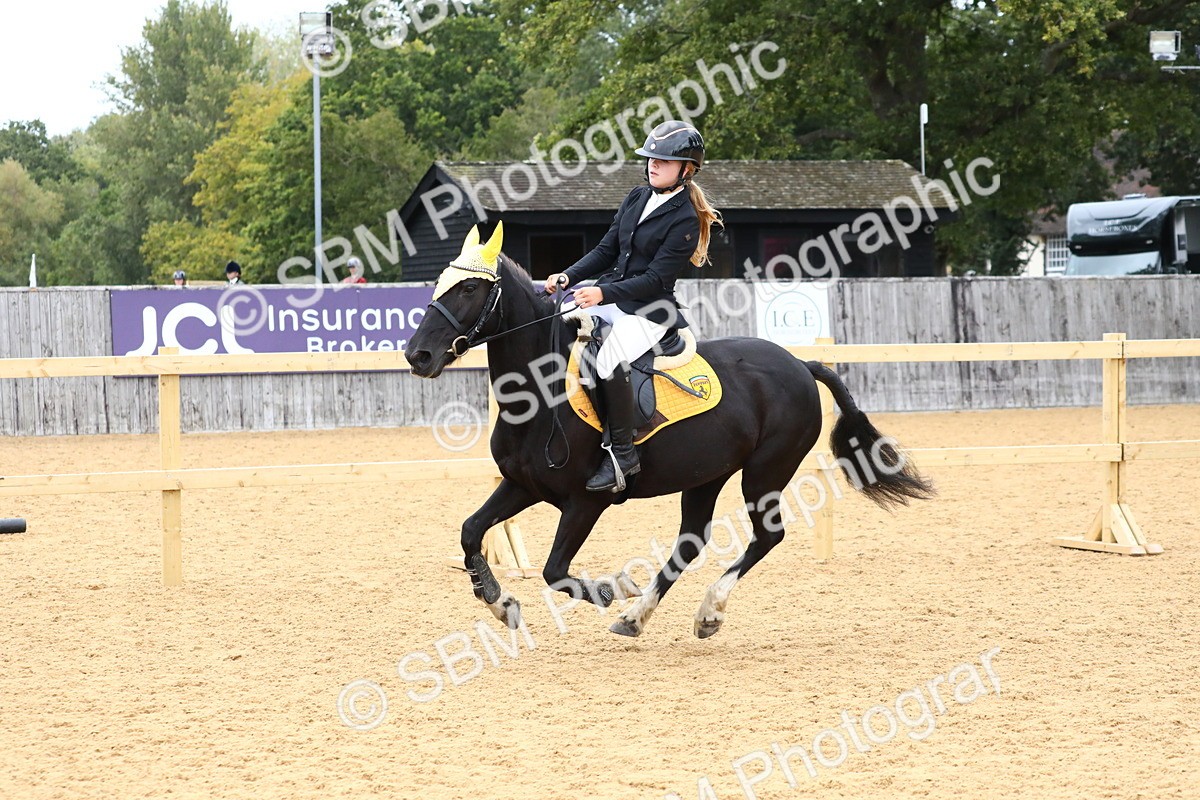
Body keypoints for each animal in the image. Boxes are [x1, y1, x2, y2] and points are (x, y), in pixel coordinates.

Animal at [405, 241, 933, 639]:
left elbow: (555, 570)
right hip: (707, 475)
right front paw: (500, 602)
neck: (541, 394)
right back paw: (637, 618)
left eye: (470, 287)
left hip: (765, 472)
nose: (418, 355)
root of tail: (800, 364)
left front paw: (611, 587)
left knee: (767, 535)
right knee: (691, 541)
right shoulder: (522, 486)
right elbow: (471, 531)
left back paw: (706, 612)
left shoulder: (585, 501)